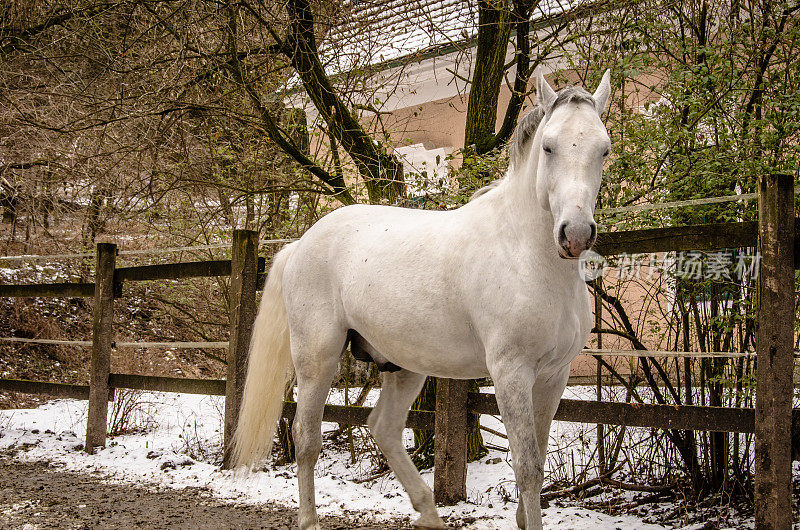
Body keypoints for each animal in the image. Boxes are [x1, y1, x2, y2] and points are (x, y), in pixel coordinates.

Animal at [234, 71, 608, 528]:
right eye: (549, 146)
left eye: (604, 149)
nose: (575, 234)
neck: (526, 254)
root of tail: (301, 244)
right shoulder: (512, 373)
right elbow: (528, 467)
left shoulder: (554, 376)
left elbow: (535, 459)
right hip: (317, 359)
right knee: (306, 438)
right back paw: (310, 520)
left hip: (404, 367)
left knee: (384, 428)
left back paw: (429, 513)